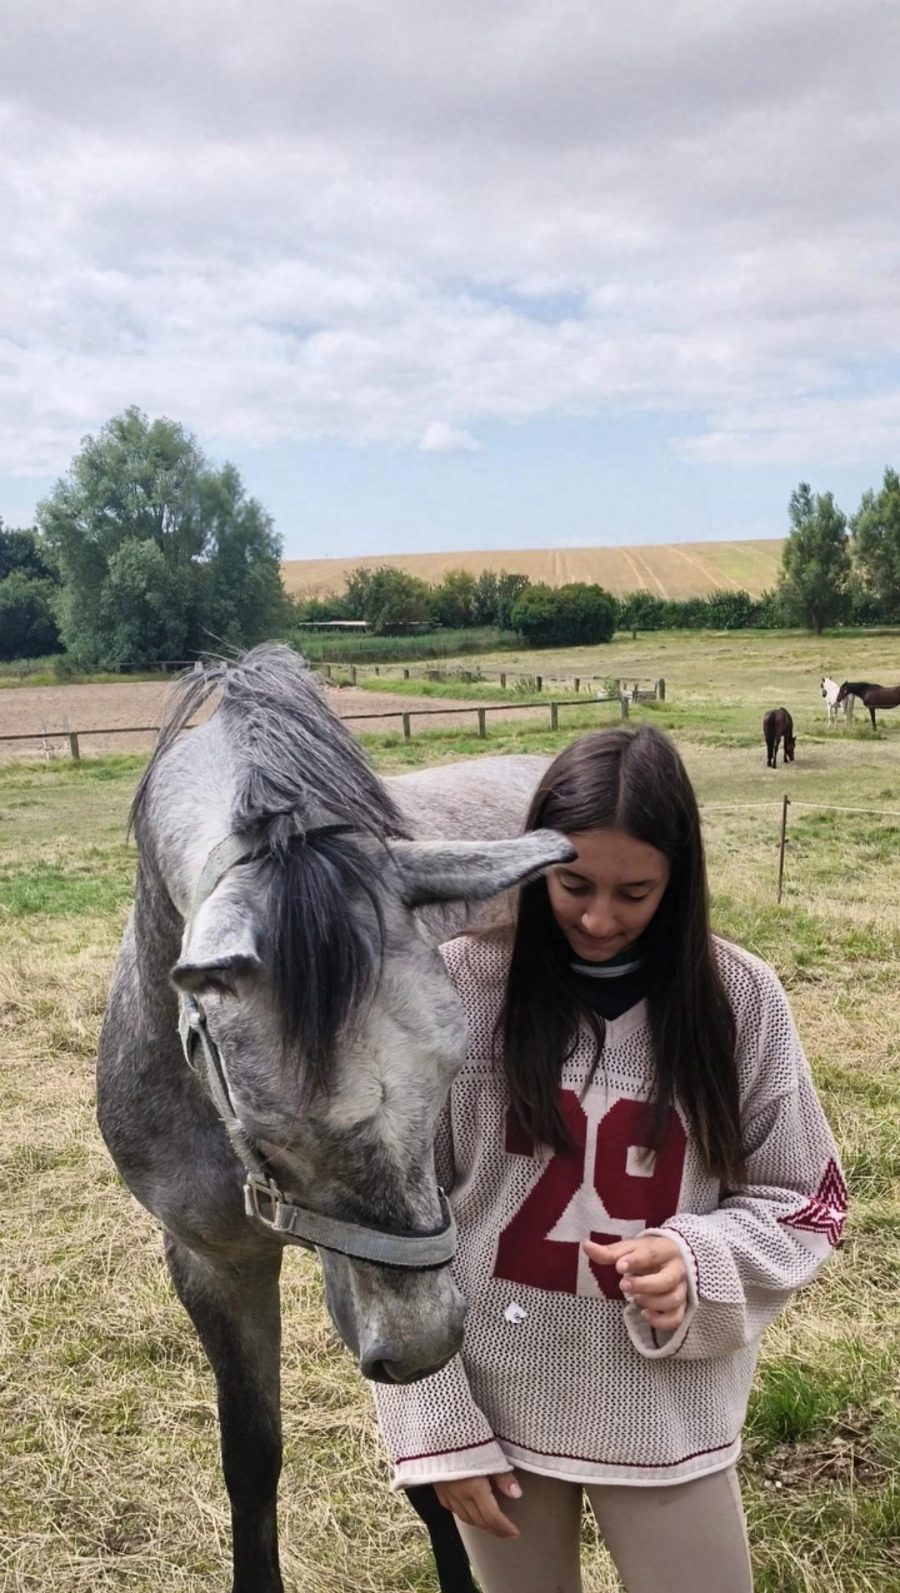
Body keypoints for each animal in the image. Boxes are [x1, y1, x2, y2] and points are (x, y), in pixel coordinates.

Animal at [96, 644, 572, 1593]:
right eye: (266, 1123)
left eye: (451, 1070)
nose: (429, 1339)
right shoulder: (216, 1262)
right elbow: (251, 1457)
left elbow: (431, 1472)